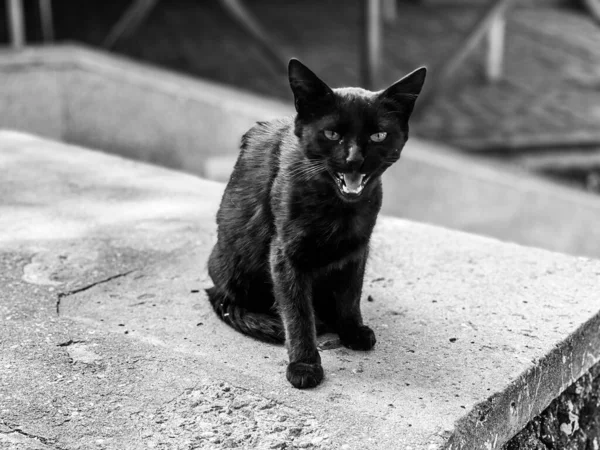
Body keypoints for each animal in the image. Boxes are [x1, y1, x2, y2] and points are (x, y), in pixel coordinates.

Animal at [207, 59, 426, 390]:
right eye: (332, 134)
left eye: (378, 136)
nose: (354, 160)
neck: (338, 208)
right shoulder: (285, 255)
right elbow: (298, 313)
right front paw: (304, 364)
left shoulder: (357, 247)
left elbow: (350, 293)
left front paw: (351, 329)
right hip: (231, 266)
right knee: (226, 300)